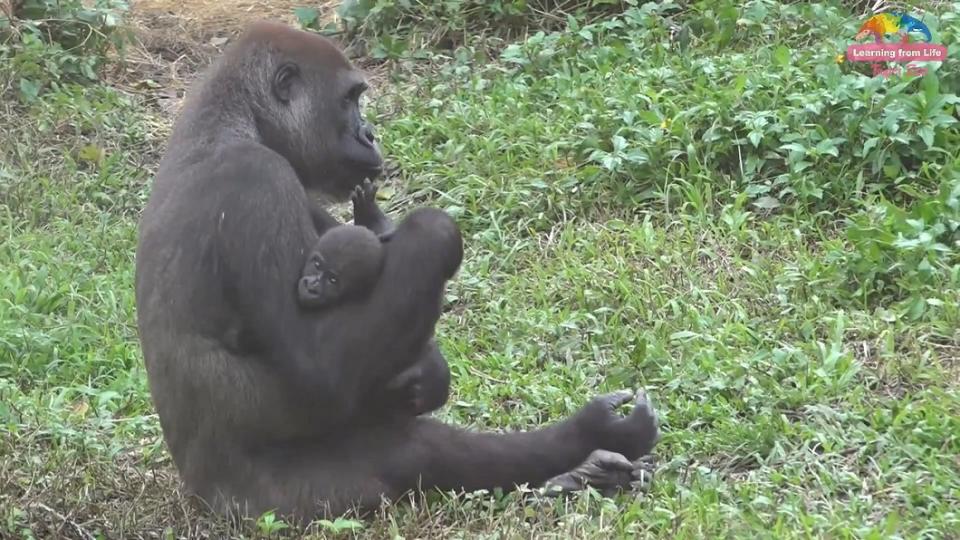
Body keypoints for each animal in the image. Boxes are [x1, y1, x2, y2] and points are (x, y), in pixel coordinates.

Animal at [137, 22, 660, 524]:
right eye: (349, 99)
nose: (369, 134)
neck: (234, 121)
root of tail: (202, 499)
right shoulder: (258, 179)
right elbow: (318, 362)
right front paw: (434, 232)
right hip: (282, 505)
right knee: (415, 450)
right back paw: (587, 438)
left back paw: (585, 465)